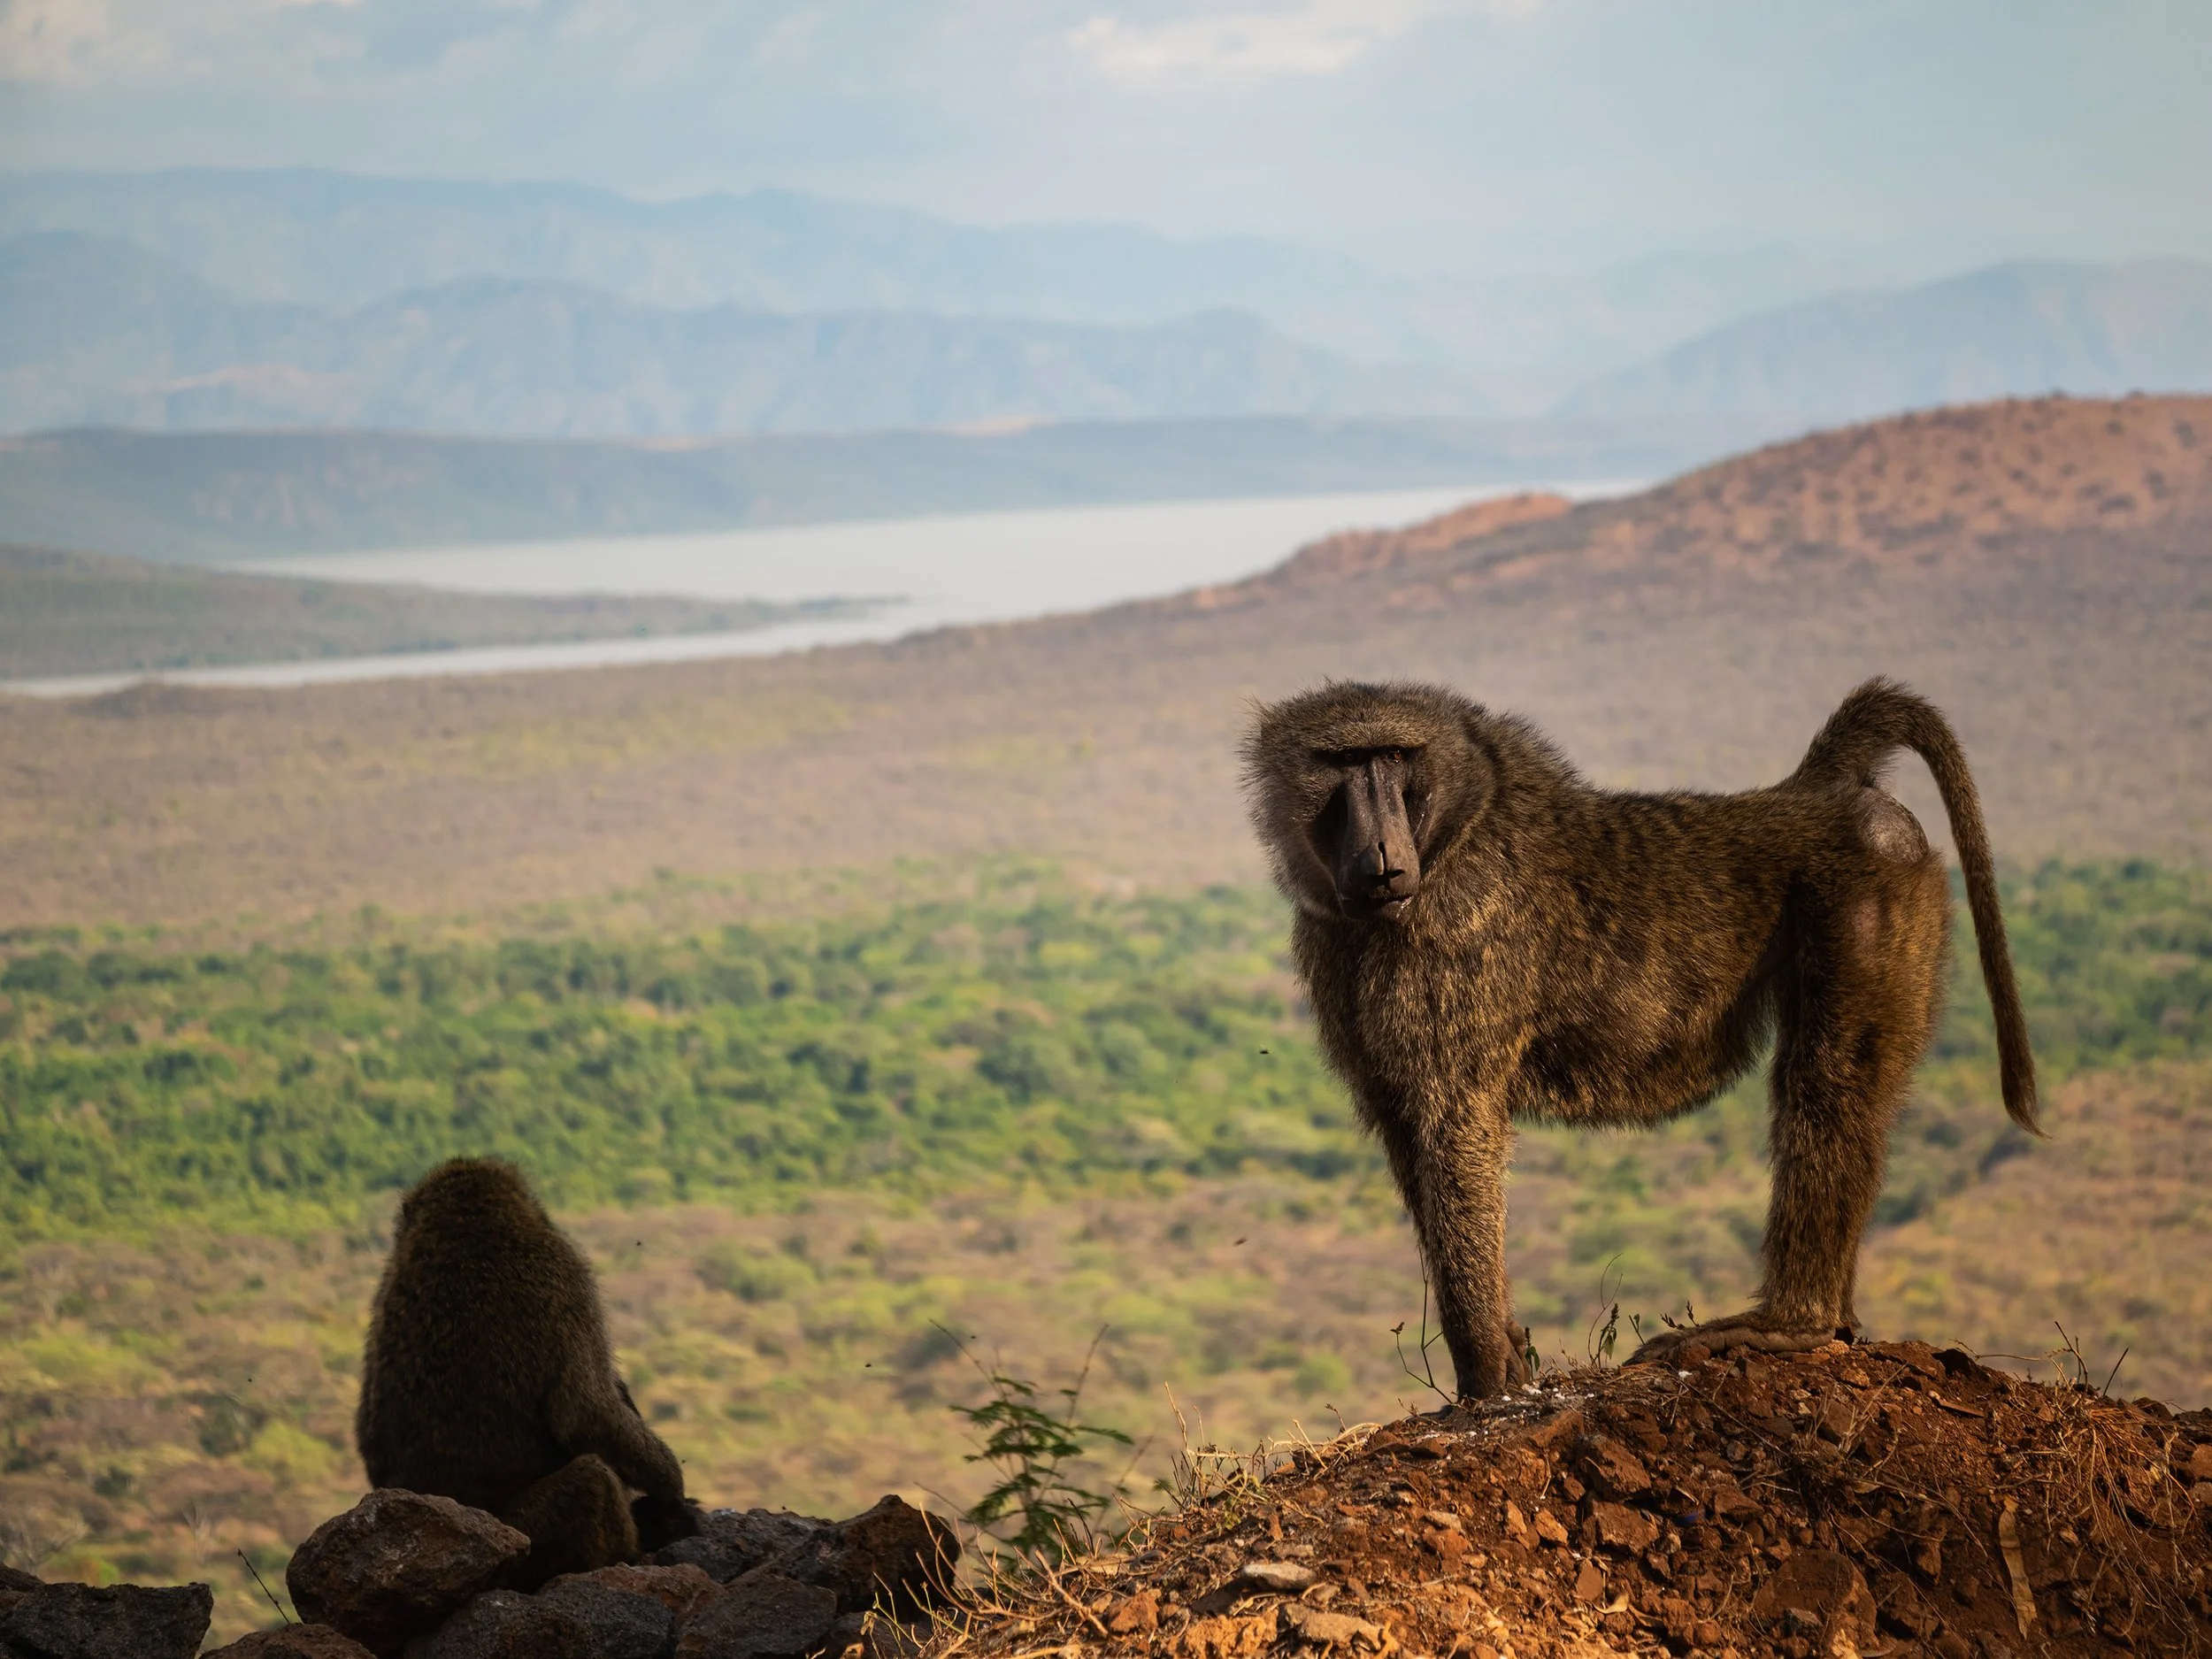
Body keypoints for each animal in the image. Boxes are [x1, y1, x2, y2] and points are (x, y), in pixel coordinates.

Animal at [356, 1158, 700, 1587]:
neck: (466, 1228)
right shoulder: (567, 1273)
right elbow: (586, 1414)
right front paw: (673, 1488)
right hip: (530, 1537)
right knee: (593, 1476)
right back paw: (638, 1545)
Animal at [1243, 677, 2038, 1400]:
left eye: (1395, 756)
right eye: (1343, 761)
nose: (1382, 856)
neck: (1456, 832)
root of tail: (1822, 790)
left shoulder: (1456, 949)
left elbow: (1454, 1132)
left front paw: (1487, 1374)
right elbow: (1409, 1137)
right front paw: (1504, 1348)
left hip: (1872, 890)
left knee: (1828, 1078)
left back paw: (1793, 1323)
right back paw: (1835, 1323)